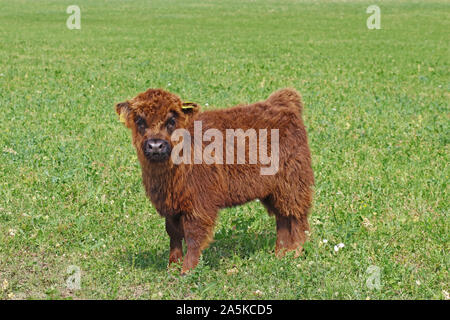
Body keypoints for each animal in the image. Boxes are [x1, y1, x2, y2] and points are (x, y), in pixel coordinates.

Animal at [116, 89, 312, 274]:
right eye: (140, 121)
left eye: (171, 121)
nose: (155, 146)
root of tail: (282, 102)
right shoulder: (170, 204)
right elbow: (173, 233)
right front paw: (172, 266)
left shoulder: (199, 205)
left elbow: (193, 237)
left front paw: (187, 270)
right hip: (273, 190)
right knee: (283, 217)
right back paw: (280, 253)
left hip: (293, 182)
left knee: (297, 217)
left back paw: (295, 252)